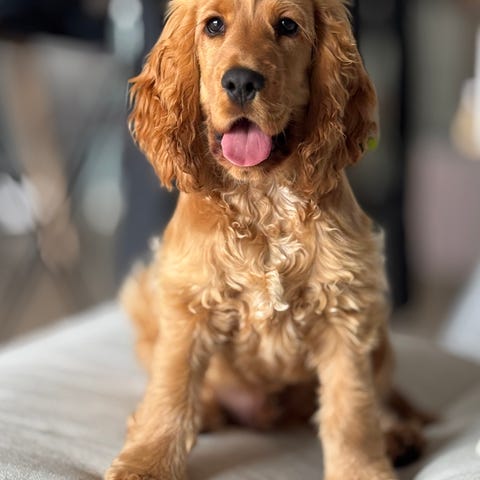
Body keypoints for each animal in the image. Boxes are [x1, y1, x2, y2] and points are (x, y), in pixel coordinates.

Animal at [106, 1, 429, 479]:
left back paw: (396, 433)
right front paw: (145, 463)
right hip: (144, 299)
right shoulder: (187, 304)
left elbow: (351, 409)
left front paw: (361, 469)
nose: (241, 81)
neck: (264, 199)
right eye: (213, 25)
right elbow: (170, 393)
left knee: (380, 391)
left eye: (287, 26)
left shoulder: (345, 307)